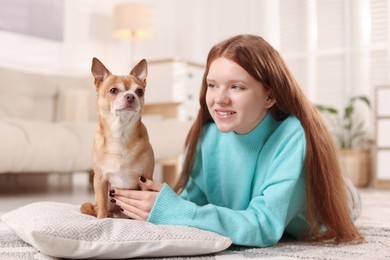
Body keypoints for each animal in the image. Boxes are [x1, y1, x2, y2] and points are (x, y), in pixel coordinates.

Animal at [80, 58, 154, 218]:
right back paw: (108, 214)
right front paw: (102, 218)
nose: (131, 96)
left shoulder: (145, 179)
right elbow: (101, 204)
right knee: (97, 206)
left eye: (139, 92)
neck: (121, 133)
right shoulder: (100, 180)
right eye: (113, 90)